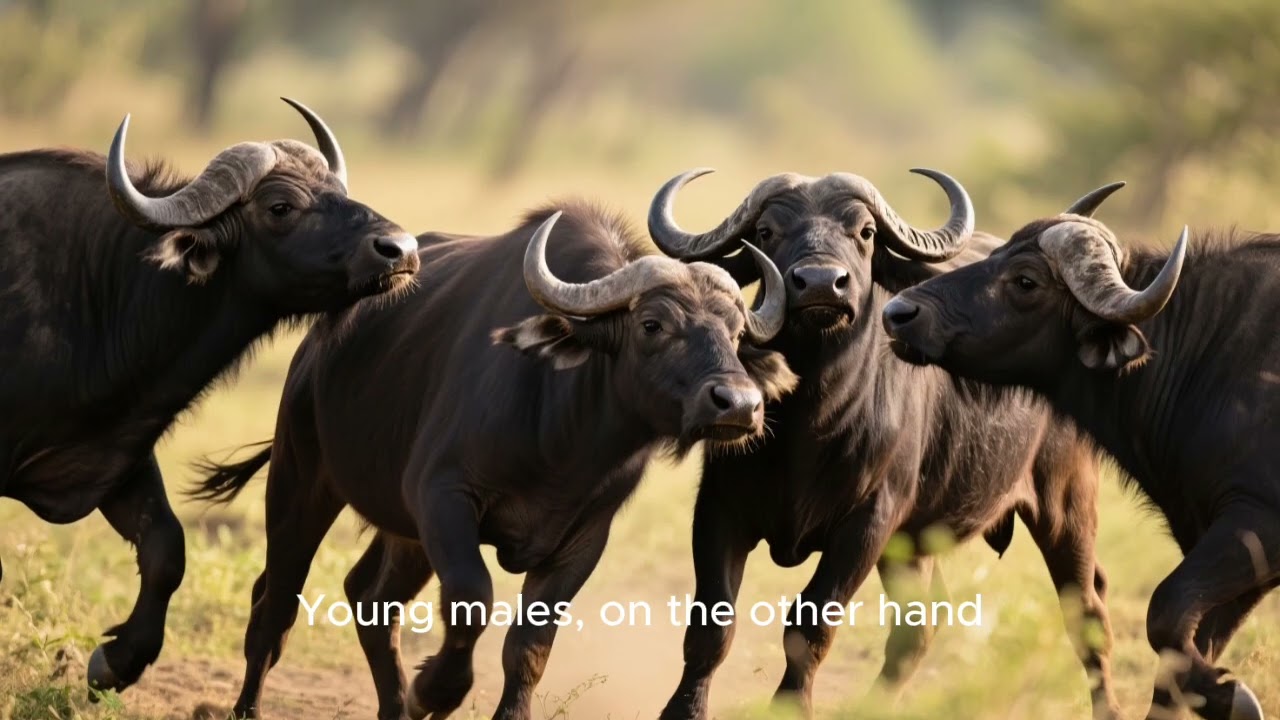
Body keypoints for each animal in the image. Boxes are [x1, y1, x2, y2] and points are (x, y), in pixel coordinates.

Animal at [0, 98, 418, 695]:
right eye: (280, 206)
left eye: (335, 190)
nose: (400, 250)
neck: (102, 290)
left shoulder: (115, 455)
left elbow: (167, 549)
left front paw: (118, 660)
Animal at [193, 202, 798, 720]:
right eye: (653, 324)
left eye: (736, 332)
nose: (738, 405)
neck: (564, 439)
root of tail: (317, 345)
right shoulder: (444, 498)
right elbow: (471, 597)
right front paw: (433, 690)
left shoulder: (582, 539)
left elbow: (529, 645)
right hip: (301, 481)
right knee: (275, 605)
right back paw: (248, 708)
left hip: (404, 534)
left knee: (371, 599)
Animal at [647, 169, 1118, 719]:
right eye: (766, 231)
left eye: (865, 232)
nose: (820, 284)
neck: (809, 425)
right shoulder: (720, 509)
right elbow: (711, 626)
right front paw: (683, 710)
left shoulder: (868, 524)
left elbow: (810, 626)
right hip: (914, 545)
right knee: (923, 622)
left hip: (1066, 506)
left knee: (1087, 611)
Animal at [884, 187, 1274, 720]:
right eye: (995, 252)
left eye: (1025, 280)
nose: (898, 312)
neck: (1203, 351)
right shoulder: (1229, 545)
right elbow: (1183, 649)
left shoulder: (1254, 521)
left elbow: (1165, 609)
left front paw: (1235, 697)